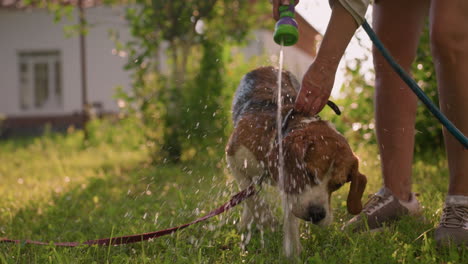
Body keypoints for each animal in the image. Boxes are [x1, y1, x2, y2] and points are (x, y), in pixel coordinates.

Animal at [225, 66, 368, 256]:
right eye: (308, 173)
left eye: (338, 185)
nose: (317, 214)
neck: (275, 134)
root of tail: (270, 67)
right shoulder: (233, 156)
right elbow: (254, 200)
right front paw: (267, 220)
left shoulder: (289, 185)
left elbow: (289, 217)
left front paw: (292, 251)